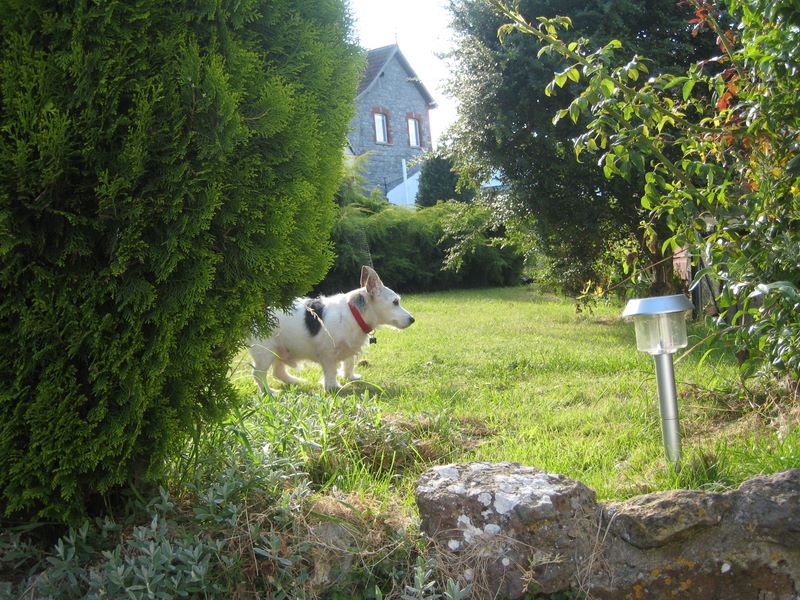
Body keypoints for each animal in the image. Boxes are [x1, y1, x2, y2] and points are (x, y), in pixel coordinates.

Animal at [248, 266, 415, 394]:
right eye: (395, 302)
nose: (412, 319)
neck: (354, 313)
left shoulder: (350, 347)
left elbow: (349, 362)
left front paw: (350, 377)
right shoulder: (328, 353)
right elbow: (331, 370)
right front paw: (333, 387)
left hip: (280, 350)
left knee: (278, 372)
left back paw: (295, 381)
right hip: (266, 352)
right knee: (258, 374)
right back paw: (269, 392)